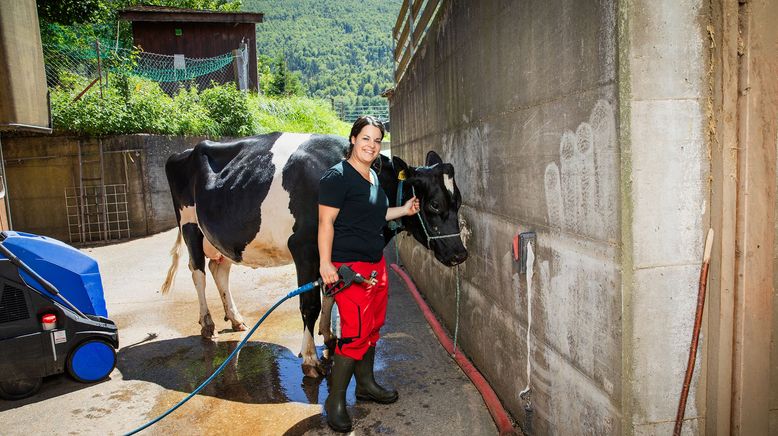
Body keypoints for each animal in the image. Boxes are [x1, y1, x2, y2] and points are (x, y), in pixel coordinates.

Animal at [161, 131, 466, 376]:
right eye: (435, 204)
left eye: (459, 201)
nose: (460, 254)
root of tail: (184, 151)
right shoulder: (305, 249)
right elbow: (310, 304)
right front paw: (310, 359)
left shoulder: (330, 252)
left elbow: (331, 292)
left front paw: (329, 337)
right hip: (189, 224)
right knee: (198, 272)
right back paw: (207, 324)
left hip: (222, 236)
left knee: (219, 269)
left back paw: (235, 319)